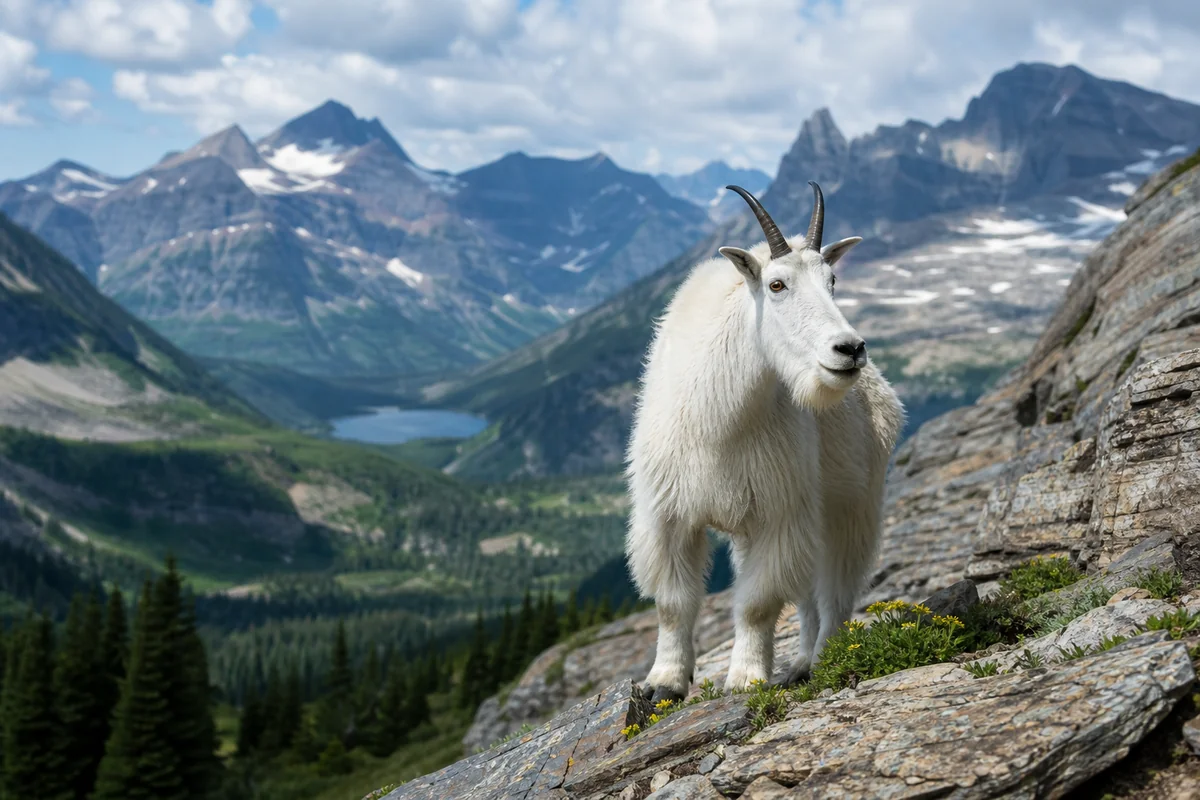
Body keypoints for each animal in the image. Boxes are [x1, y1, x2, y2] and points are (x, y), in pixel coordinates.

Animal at [624, 182, 904, 703]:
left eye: (833, 280)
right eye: (776, 285)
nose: (850, 349)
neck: (722, 420)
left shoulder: (778, 513)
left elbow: (757, 603)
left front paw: (746, 679)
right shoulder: (669, 514)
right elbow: (673, 602)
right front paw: (664, 683)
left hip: (852, 506)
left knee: (835, 590)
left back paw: (822, 660)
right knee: (810, 595)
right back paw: (799, 664)